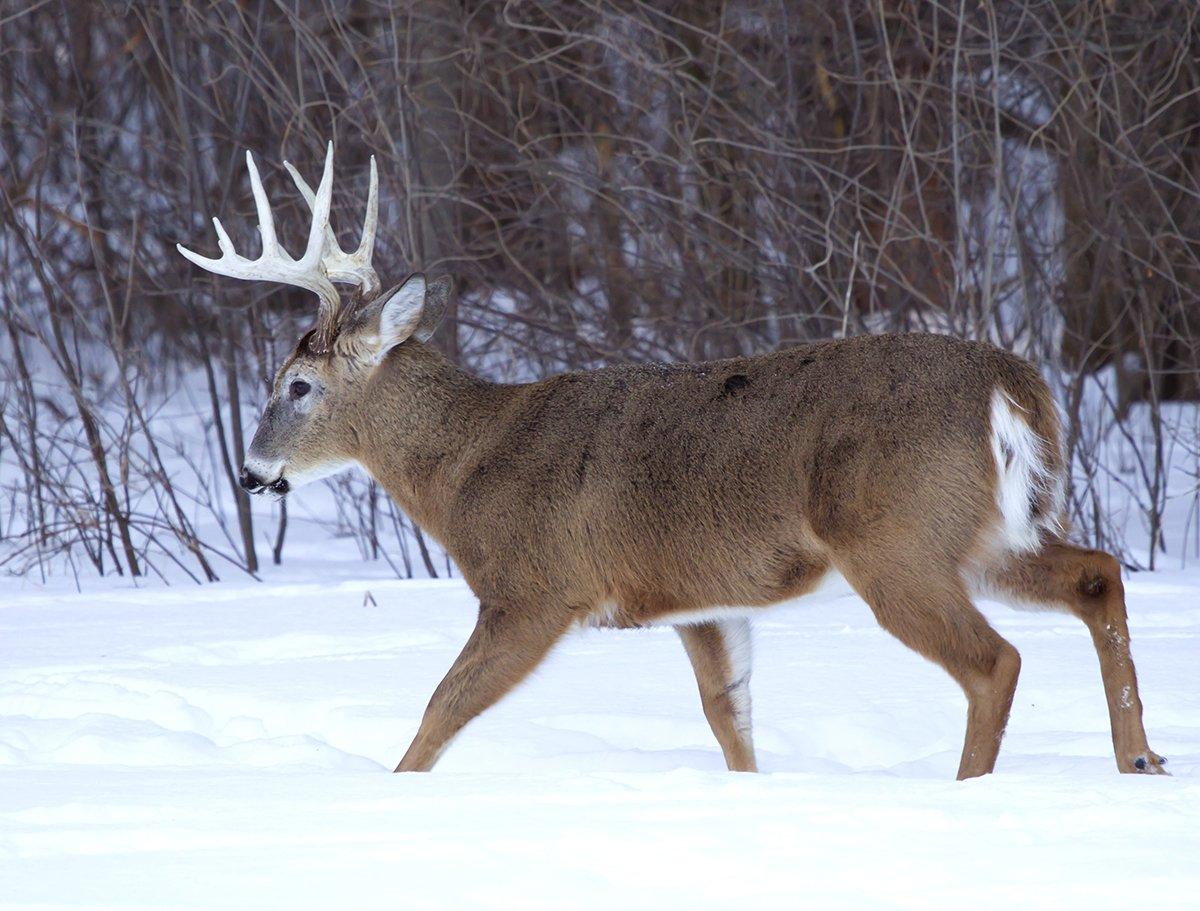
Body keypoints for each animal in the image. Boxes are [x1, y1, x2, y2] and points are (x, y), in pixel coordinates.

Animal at [175, 145, 1161, 782]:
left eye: (296, 385)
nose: (250, 470)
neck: (466, 465)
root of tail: (1012, 384)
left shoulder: (534, 587)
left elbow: (439, 710)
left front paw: (392, 793)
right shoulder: (699, 601)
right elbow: (731, 721)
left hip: (896, 537)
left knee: (996, 660)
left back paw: (975, 793)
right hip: (991, 528)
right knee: (1097, 572)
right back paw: (1140, 757)